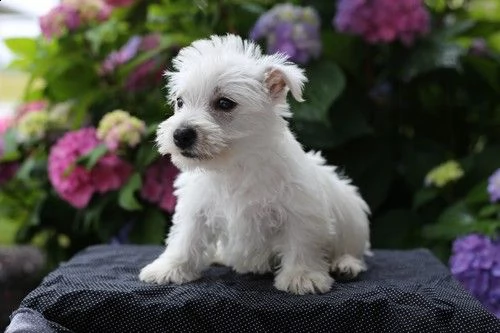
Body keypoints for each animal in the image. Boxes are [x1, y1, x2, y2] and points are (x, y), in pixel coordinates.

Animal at [139, 33, 370, 294]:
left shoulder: (301, 209)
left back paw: (345, 264)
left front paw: (302, 276)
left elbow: (302, 243)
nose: (180, 135)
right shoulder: (196, 209)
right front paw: (169, 268)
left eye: (225, 103)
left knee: (352, 249)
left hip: (351, 215)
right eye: (180, 102)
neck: (234, 166)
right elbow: (185, 239)